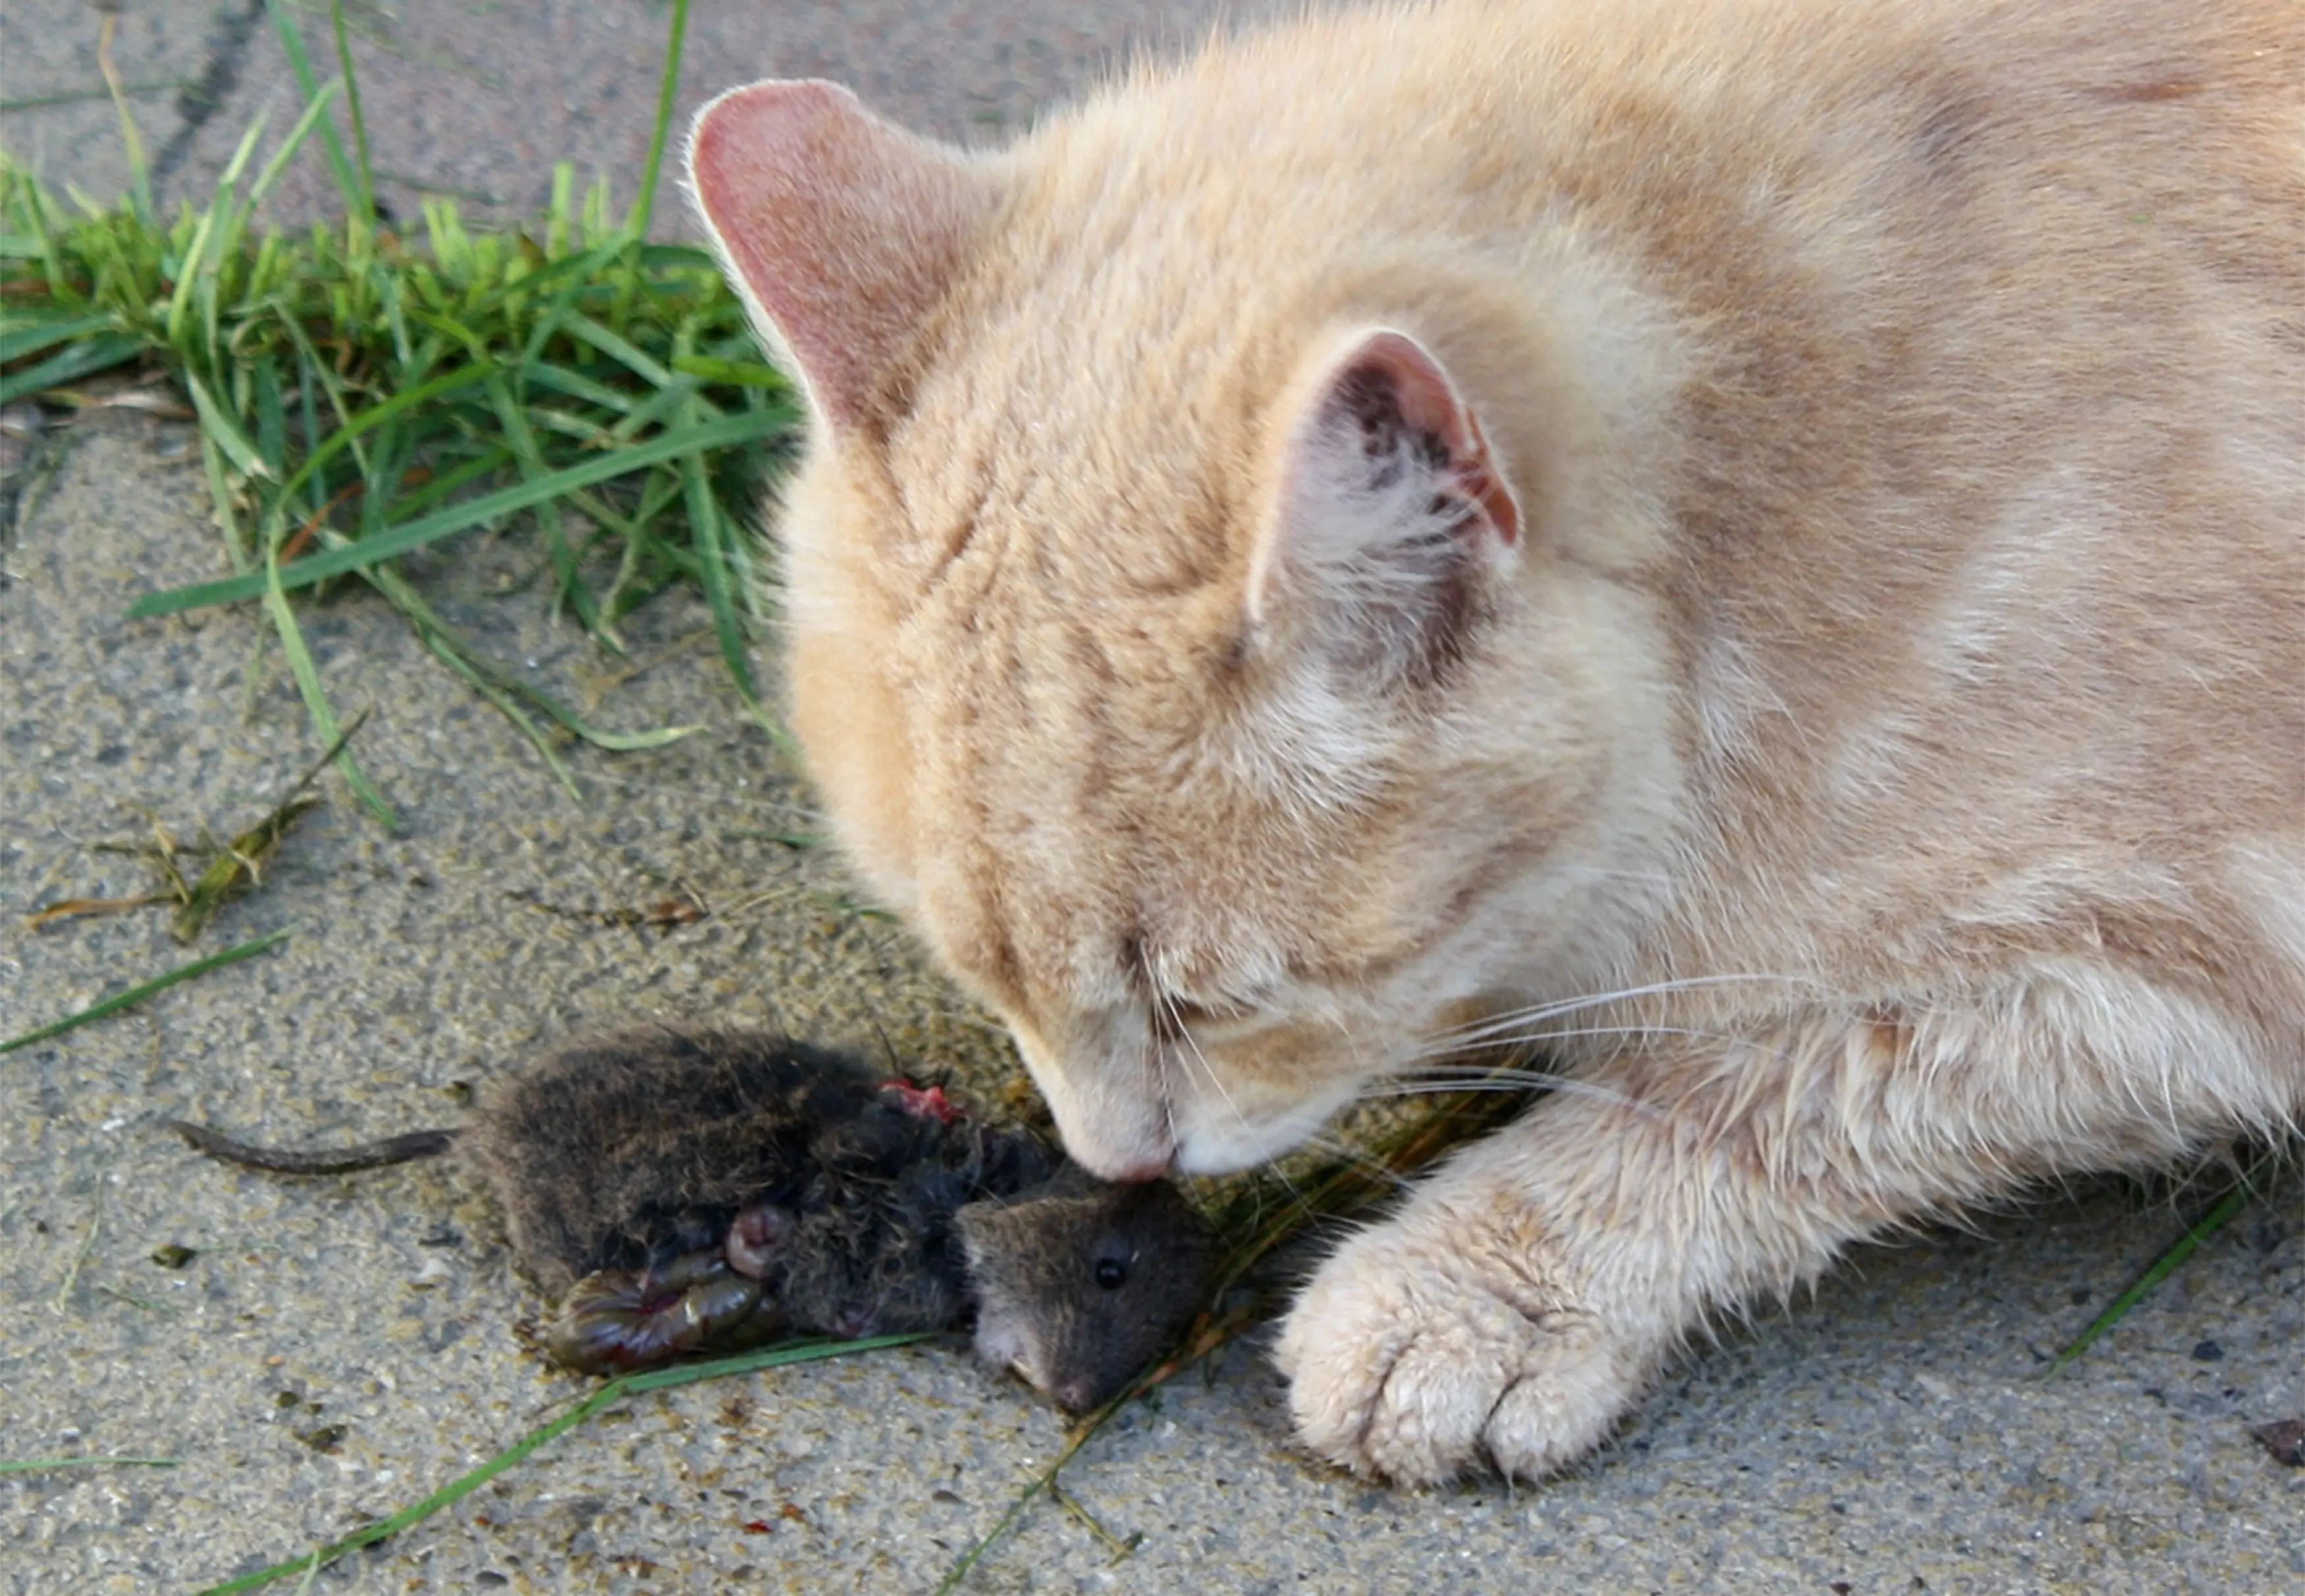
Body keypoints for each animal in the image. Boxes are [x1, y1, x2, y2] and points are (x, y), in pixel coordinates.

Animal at [682, 0, 2305, 1483]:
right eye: (981, 979)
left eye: (1216, 1004)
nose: (1115, 1159)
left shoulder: (2180, 952)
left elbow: (1760, 1087)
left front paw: (1475, 1290)